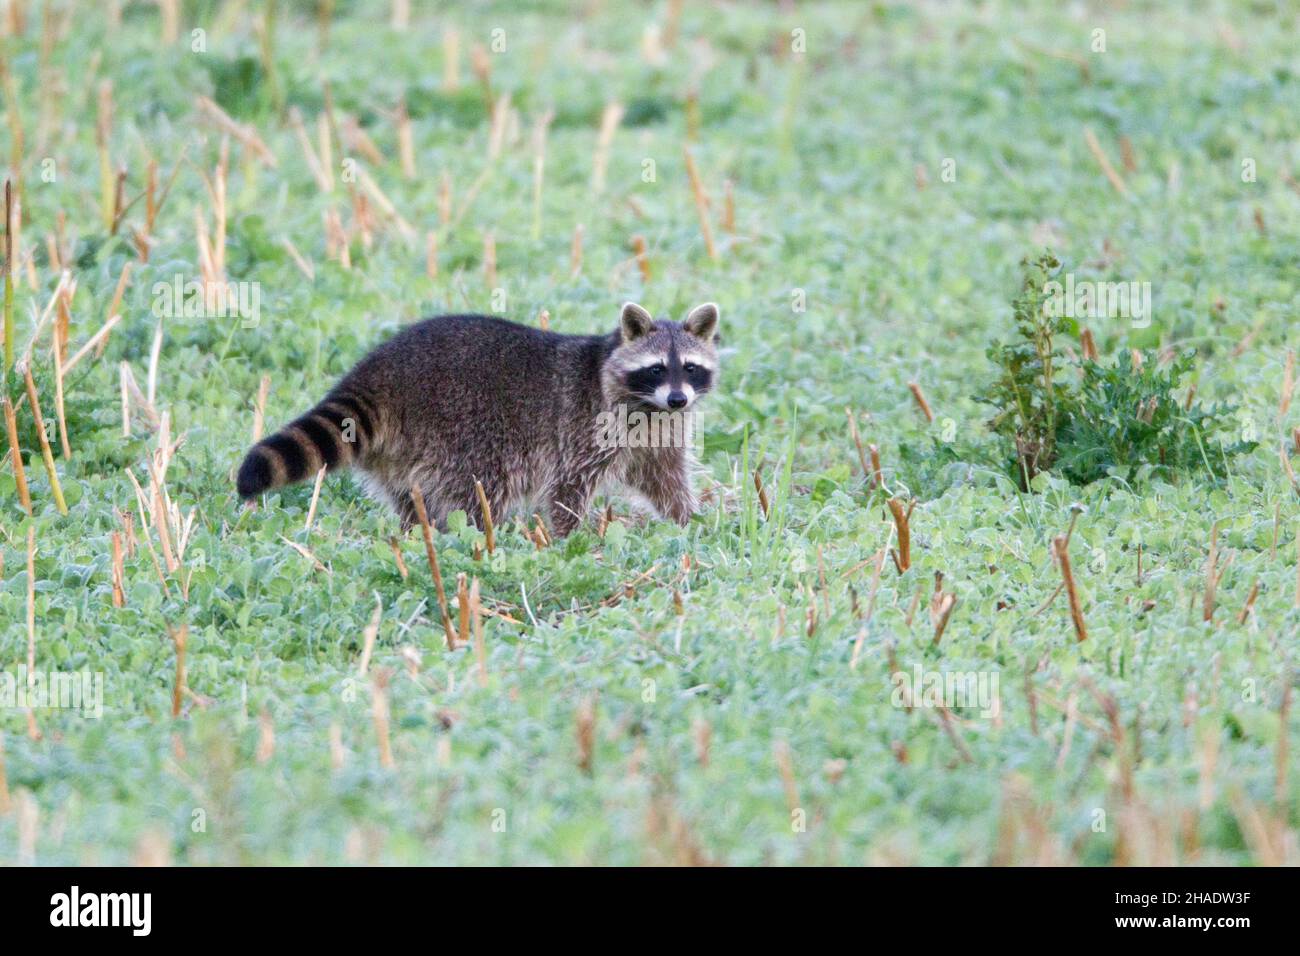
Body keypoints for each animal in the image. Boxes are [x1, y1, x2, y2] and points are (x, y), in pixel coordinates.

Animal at [236, 303, 722, 535]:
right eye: (656, 368)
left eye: (690, 368)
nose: (678, 398)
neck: (648, 406)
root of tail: (379, 371)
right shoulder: (586, 428)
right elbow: (568, 488)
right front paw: (572, 539)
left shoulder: (656, 434)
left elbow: (664, 478)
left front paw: (688, 521)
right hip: (461, 426)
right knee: (480, 487)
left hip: (400, 453)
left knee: (410, 496)